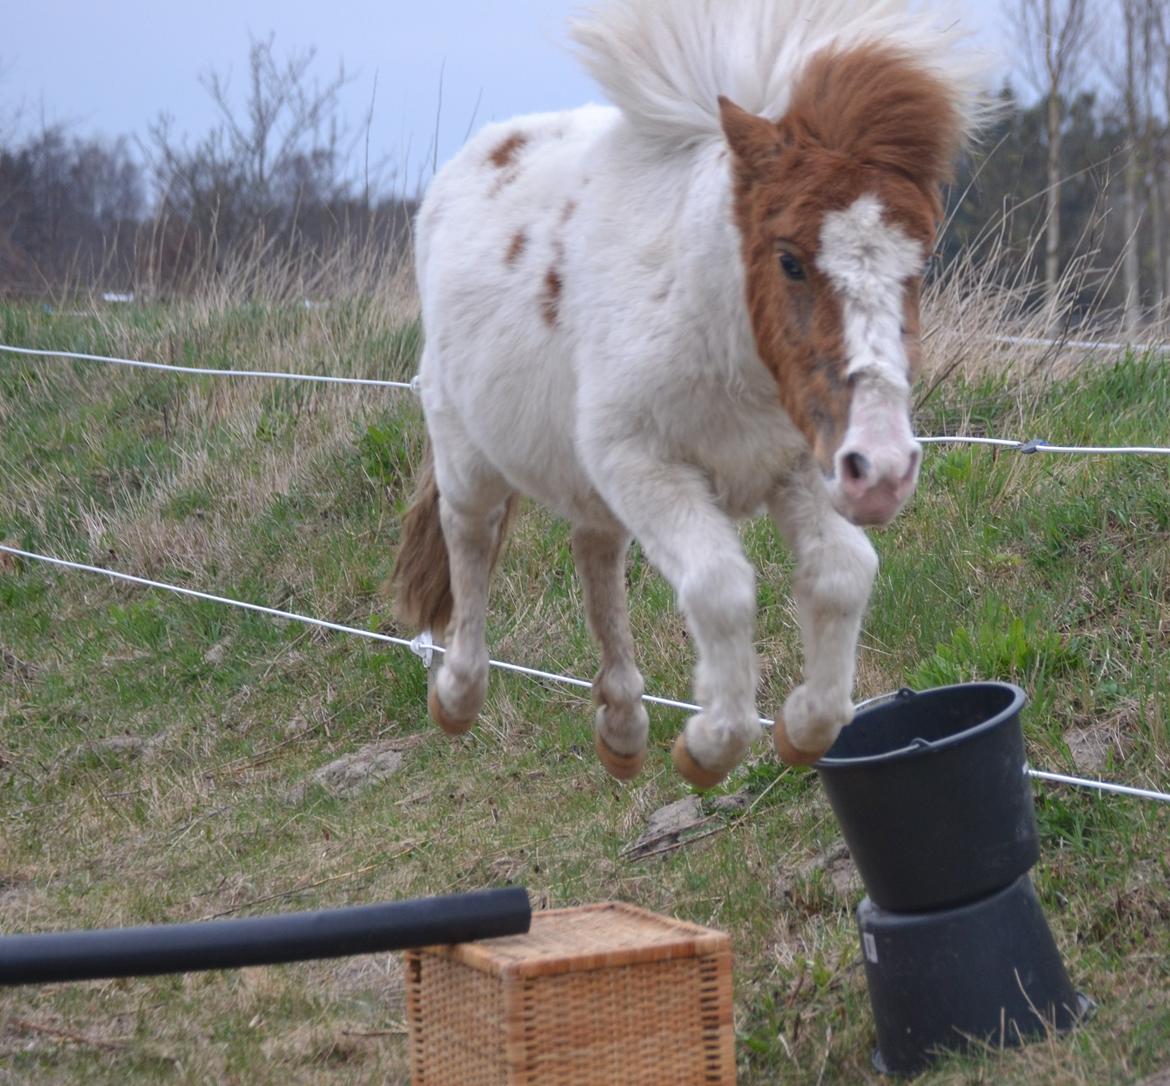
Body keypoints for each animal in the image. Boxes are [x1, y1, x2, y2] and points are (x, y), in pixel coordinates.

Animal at [393, 0, 987, 786]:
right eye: (790, 260)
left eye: (919, 260)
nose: (883, 469)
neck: (716, 335)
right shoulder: (647, 465)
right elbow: (721, 587)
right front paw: (712, 743)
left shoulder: (799, 464)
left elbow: (842, 574)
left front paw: (804, 728)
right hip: (469, 450)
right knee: (470, 538)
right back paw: (458, 695)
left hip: (594, 482)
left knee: (595, 554)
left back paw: (621, 730)